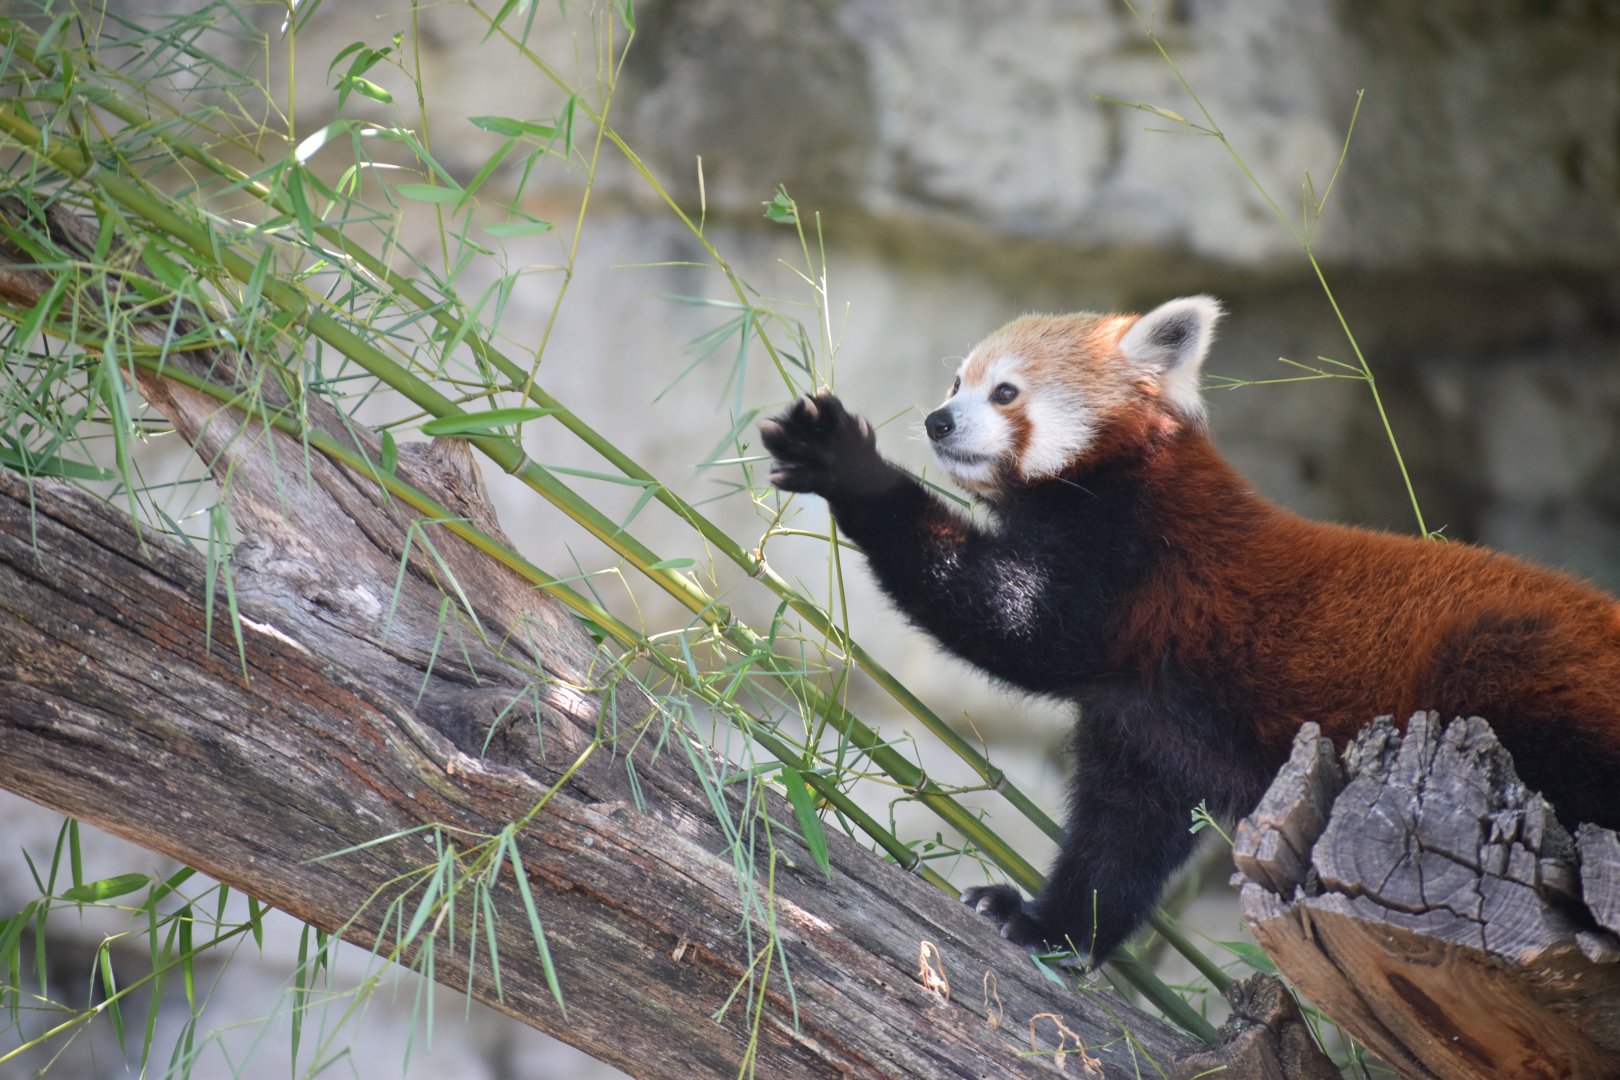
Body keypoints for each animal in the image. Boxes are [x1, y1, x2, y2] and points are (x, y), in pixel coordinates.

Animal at [759, 296, 1620, 962]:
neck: (1111, 477)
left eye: (1004, 392)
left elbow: (1016, 623)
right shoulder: (1145, 718)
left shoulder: (1137, 566)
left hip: (1520, 670)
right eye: (955, 381)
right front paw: (1044, 924)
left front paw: (848, 465)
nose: (939, 421)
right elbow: (1119, 836)